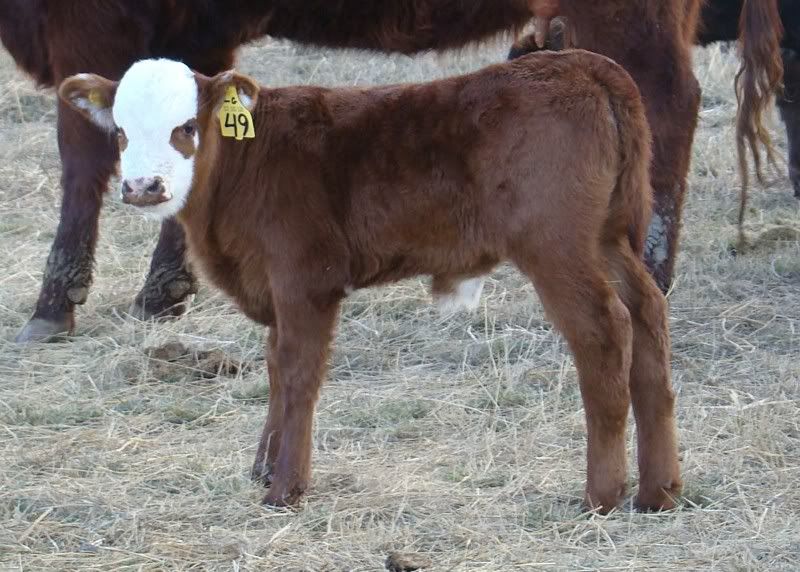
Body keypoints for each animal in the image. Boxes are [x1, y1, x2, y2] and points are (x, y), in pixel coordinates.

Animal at [58, 52, 680, 512]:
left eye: (186, 127)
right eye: (119, 132)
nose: (143, 187)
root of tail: (584, 65)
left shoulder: (305, 279)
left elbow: (299, 372)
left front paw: (286, 488)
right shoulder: (276, 287)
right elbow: (274, 366)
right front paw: (263, 466)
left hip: (556, 246)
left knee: (605, 331)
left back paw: (602, 495)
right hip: (606, 240)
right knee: (648, 315)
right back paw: (659, 491)